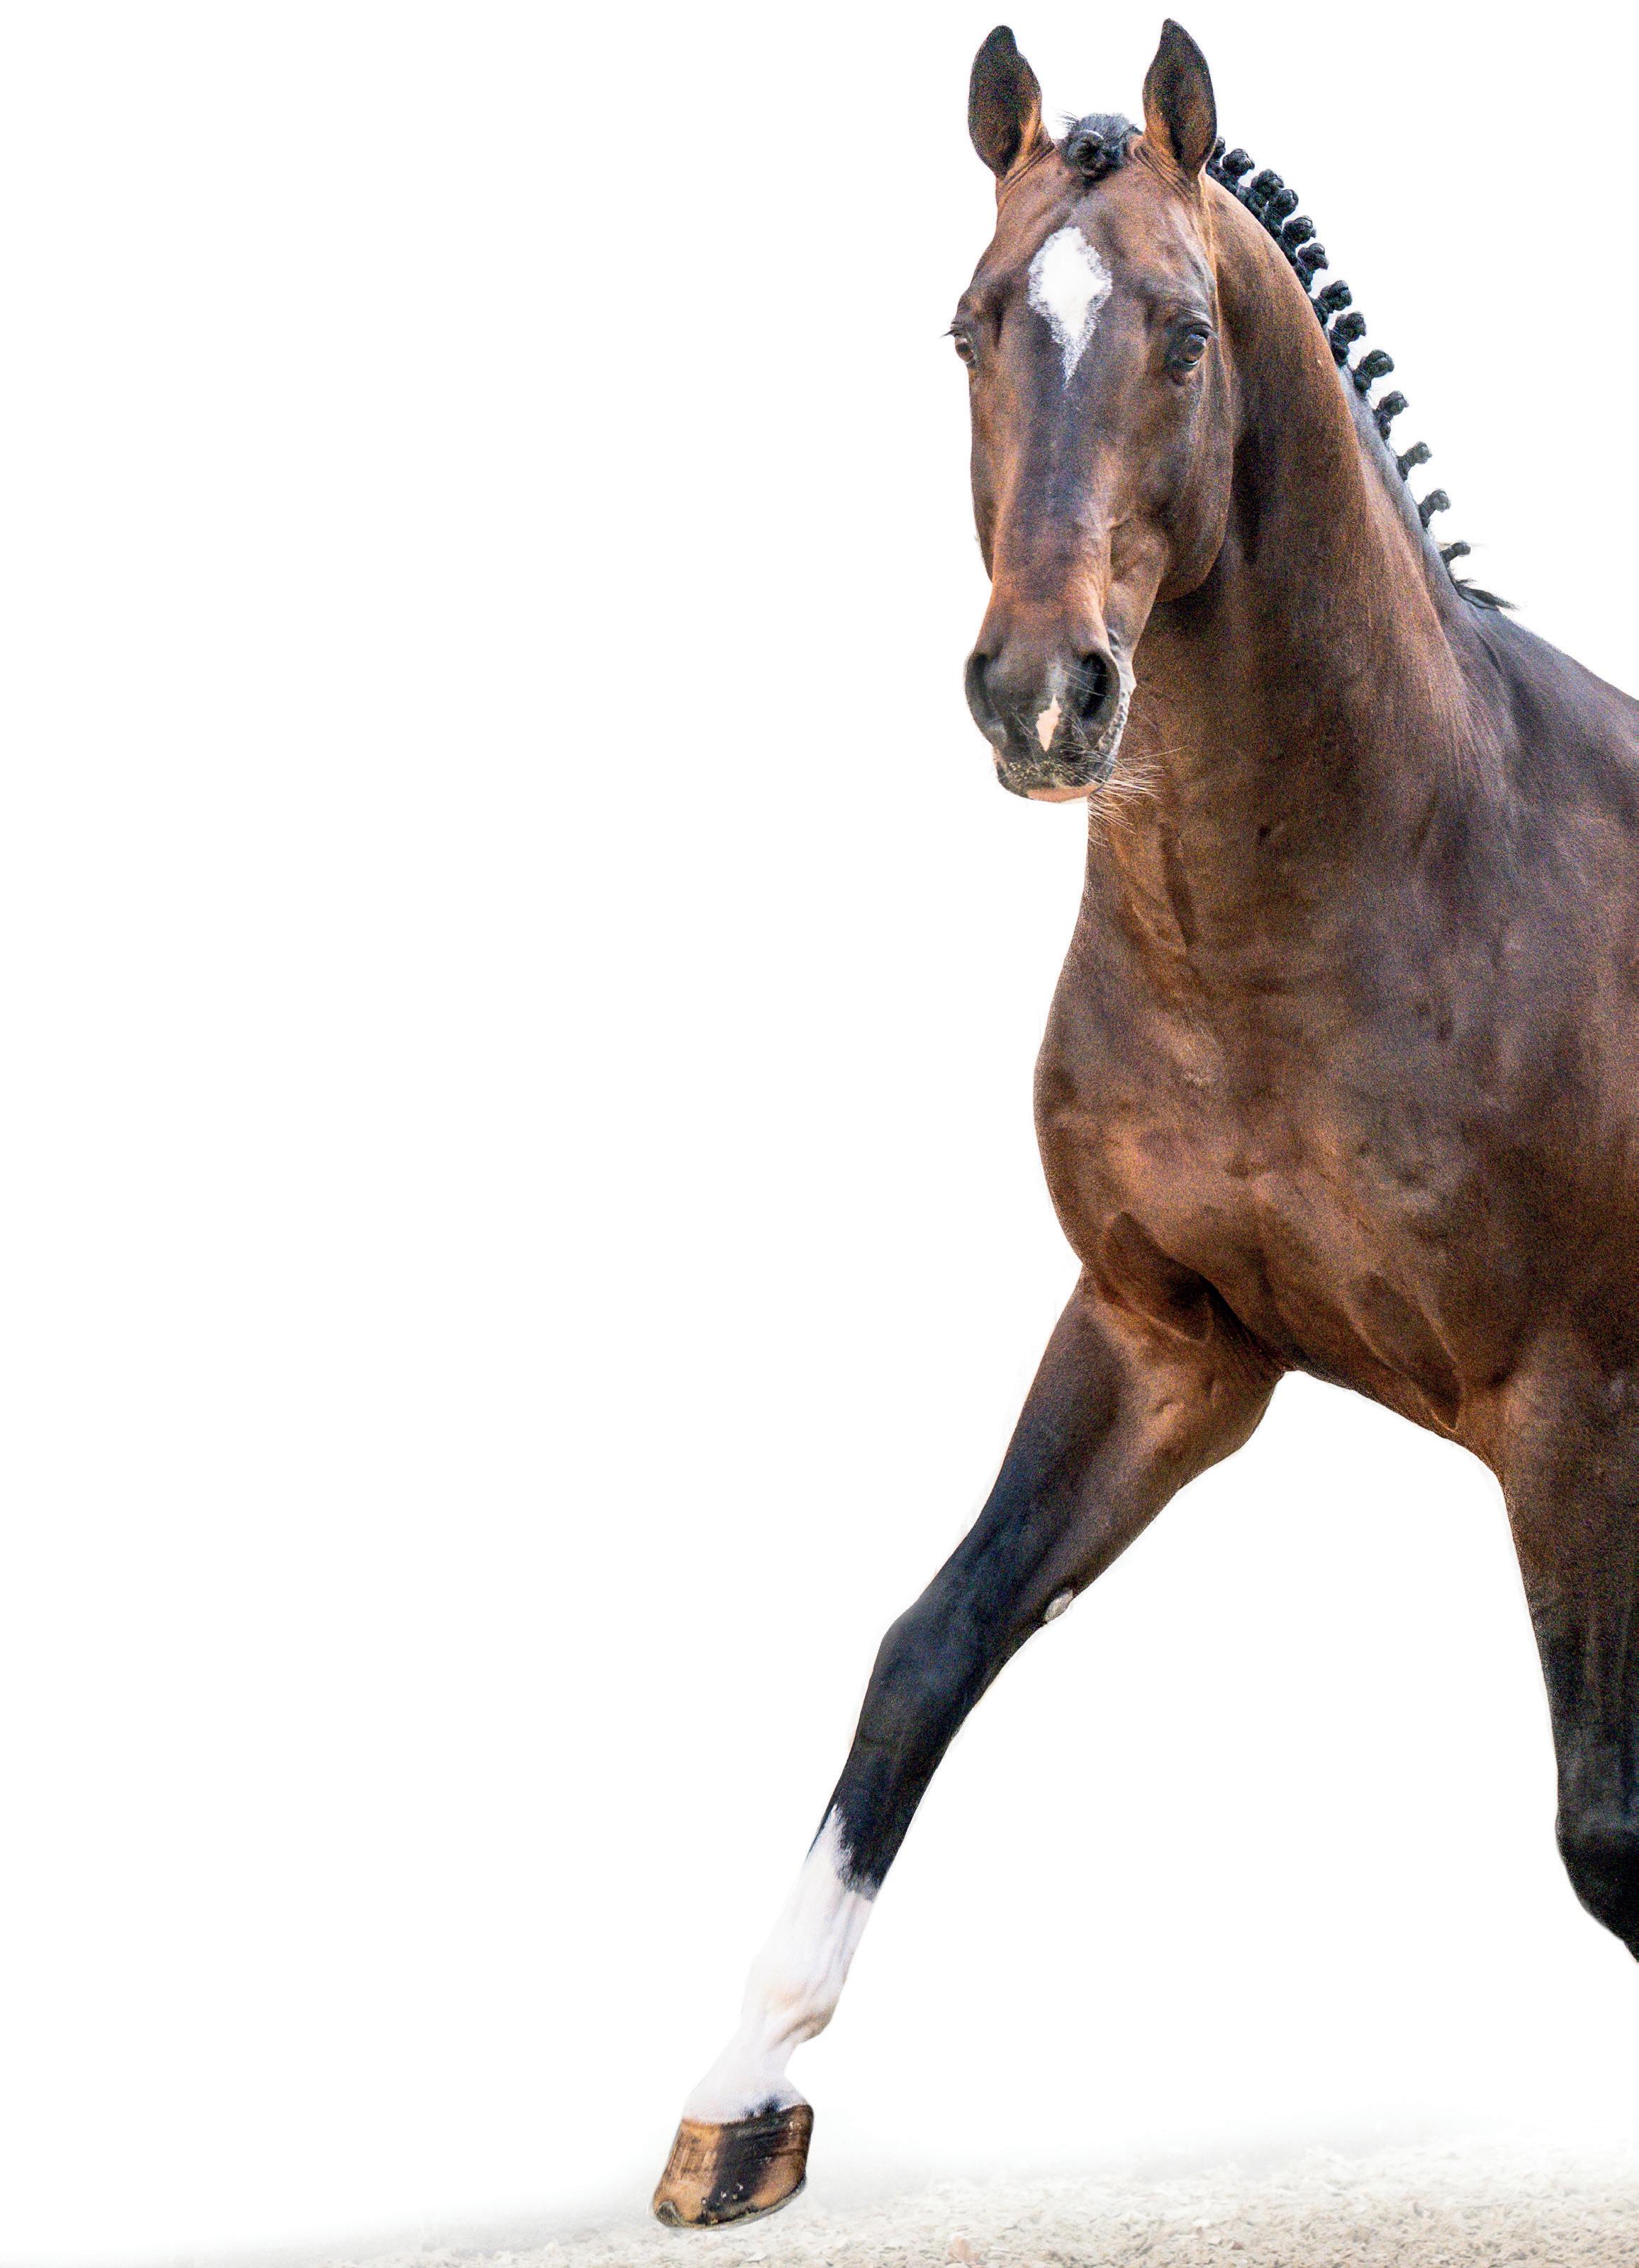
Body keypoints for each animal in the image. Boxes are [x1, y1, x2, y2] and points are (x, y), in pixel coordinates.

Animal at [652, 17, 1639, 2227]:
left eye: (1184, 333)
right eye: (969, 322)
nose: (1042, 695)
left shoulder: (1576, 1402)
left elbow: (1609, 1824)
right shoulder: (1162, 1343)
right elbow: (928, 1647)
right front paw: (739, 2103)